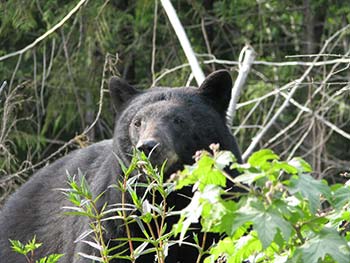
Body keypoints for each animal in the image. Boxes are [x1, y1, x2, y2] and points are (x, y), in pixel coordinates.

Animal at [0, 70, 241, 263]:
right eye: (137, 122)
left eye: (179, 120)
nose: (148, 147)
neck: (166, 195)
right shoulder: (113, 216)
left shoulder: (222, 205)